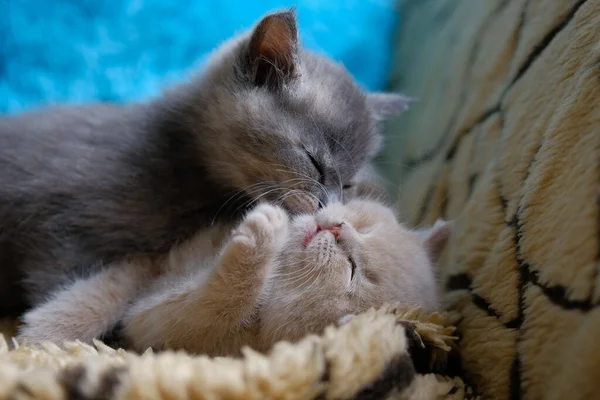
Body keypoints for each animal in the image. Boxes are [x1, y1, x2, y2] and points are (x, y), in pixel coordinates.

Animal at [17, 200, 450, 356]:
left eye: (352, 271)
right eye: (366, 225)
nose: (337, 228)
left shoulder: (158, 323)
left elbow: (215, 302)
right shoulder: (155, 264)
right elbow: (106, 290)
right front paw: (45, 335)